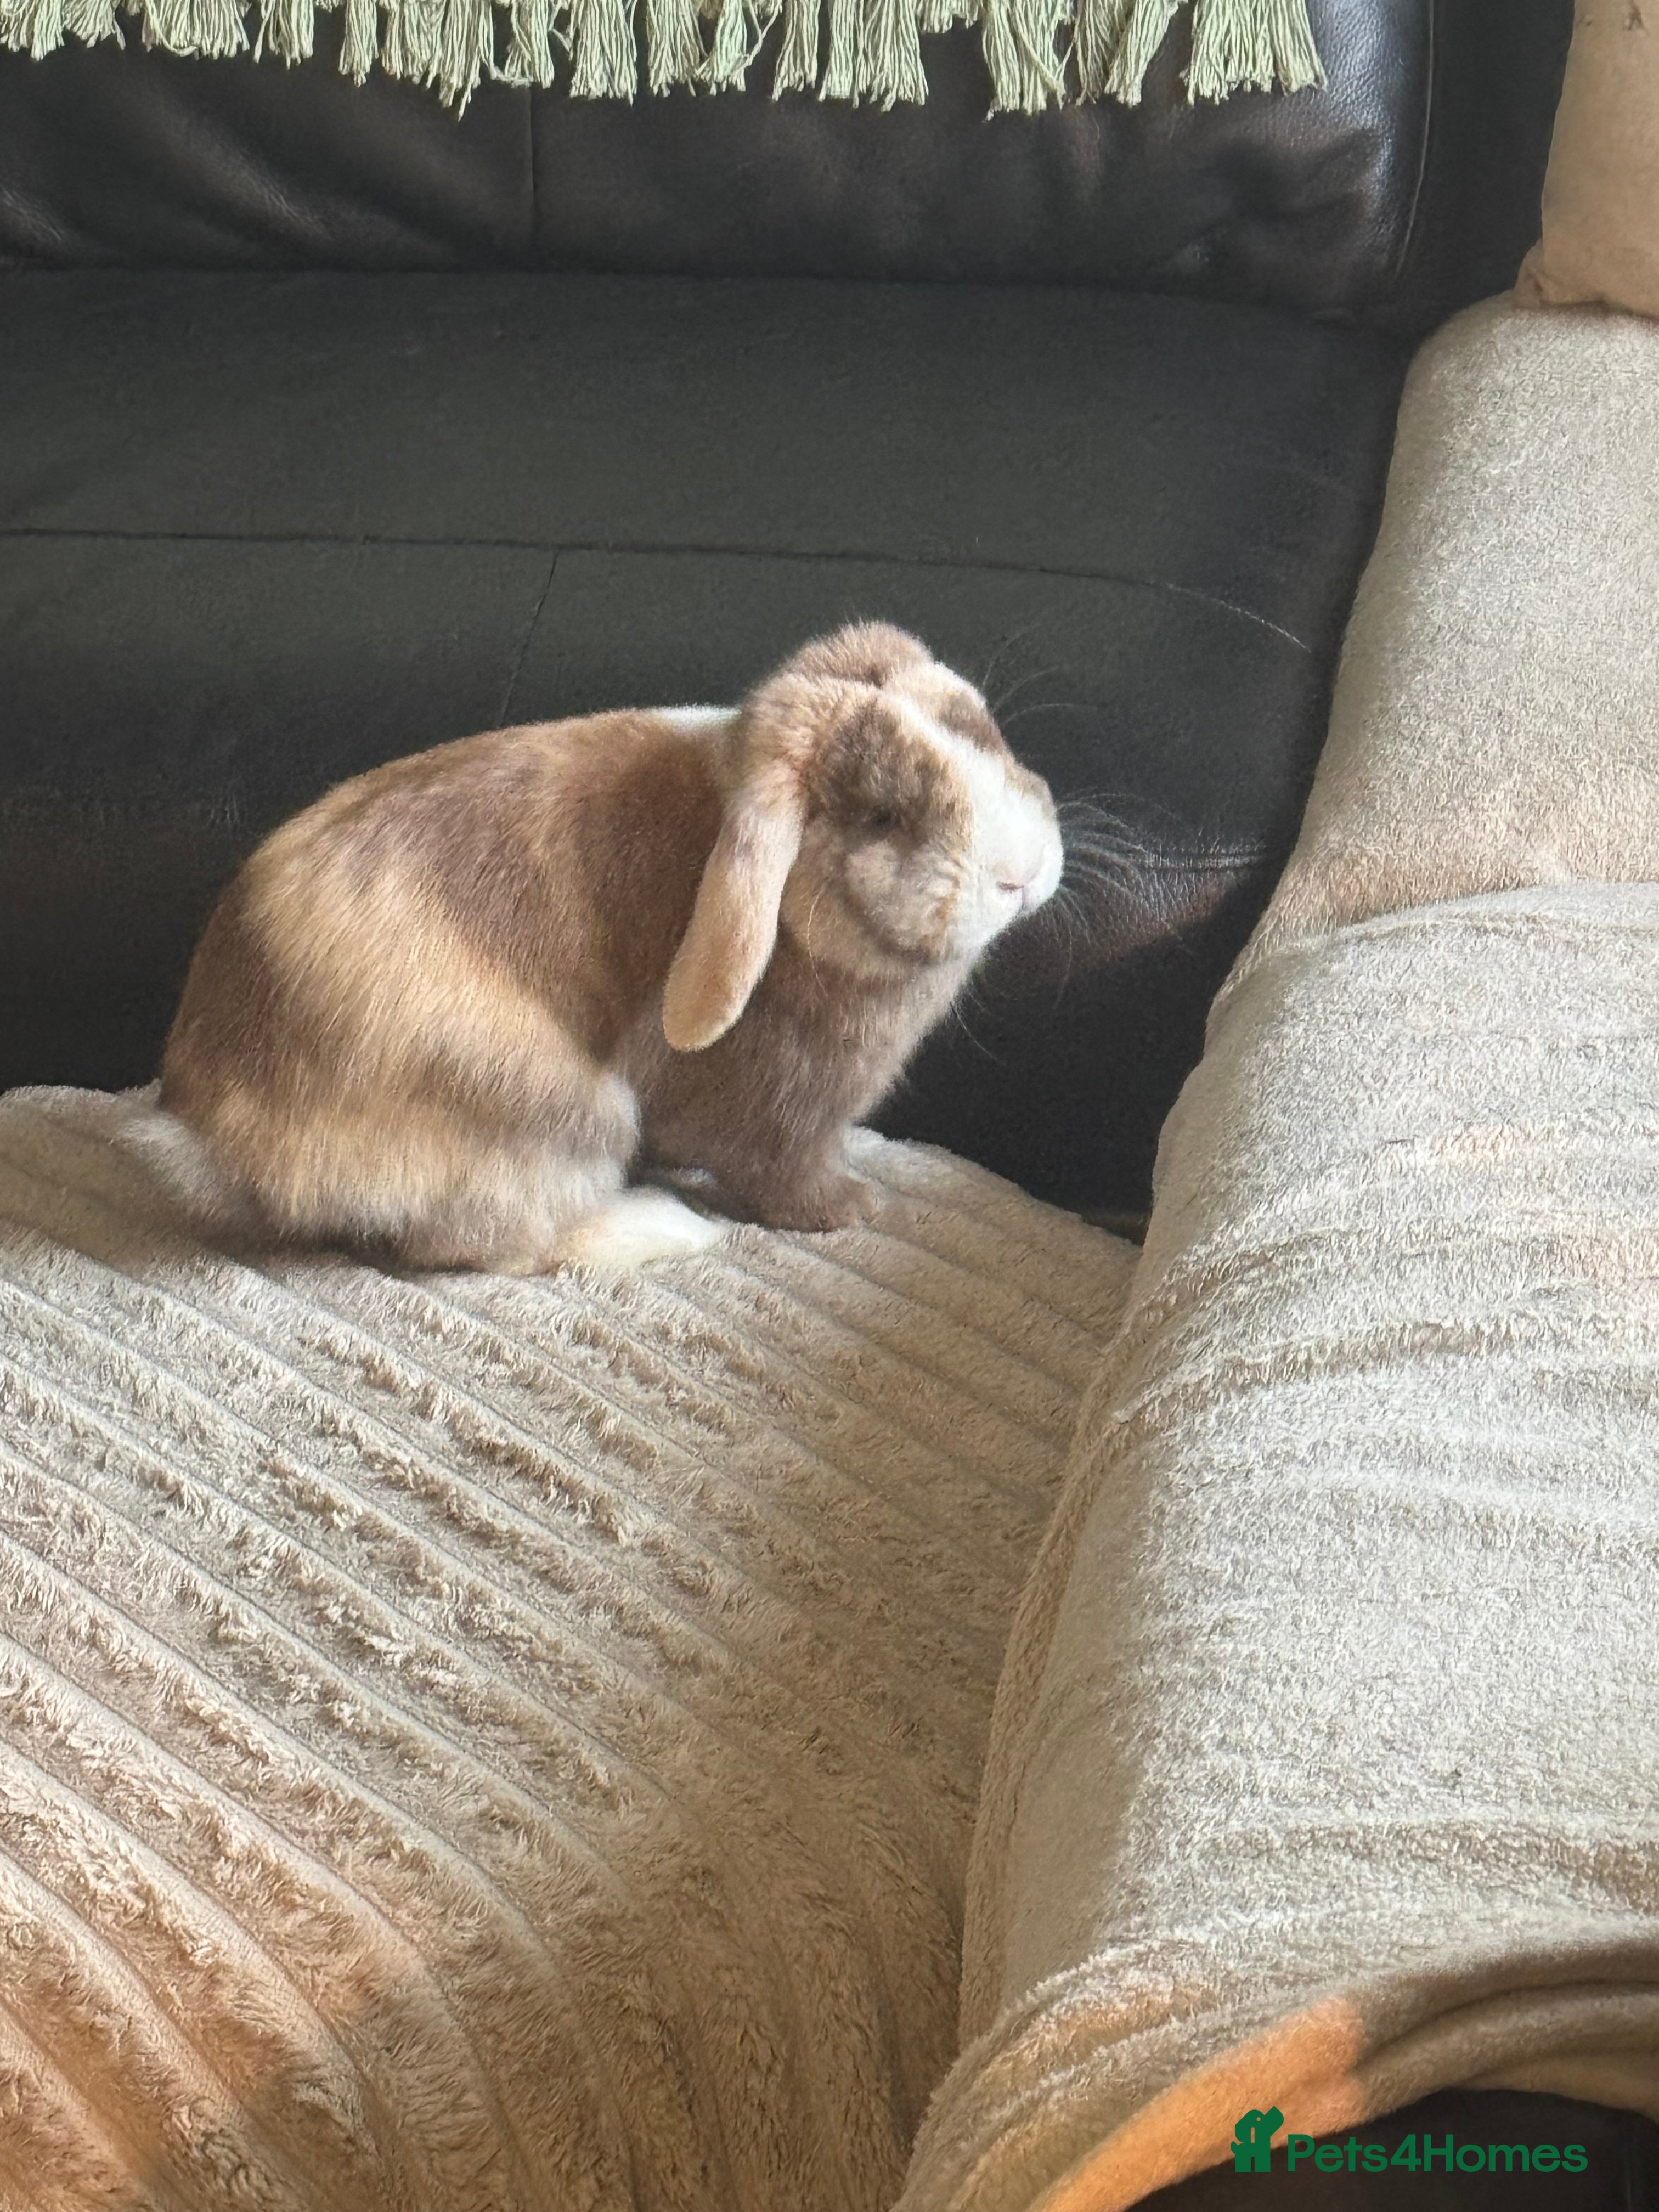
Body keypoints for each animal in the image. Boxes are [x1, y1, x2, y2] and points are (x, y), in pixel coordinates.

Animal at [149, 622, 1063, 1273]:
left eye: (991, 737)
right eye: (883, 817)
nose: (1021, 874)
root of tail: (213, 1124)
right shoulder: (784, 1109)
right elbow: (782, 1172)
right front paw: (852, 1208)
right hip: (564, 1115)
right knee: (484, 1245)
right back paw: (662, 1228)